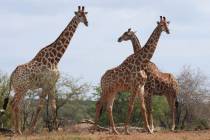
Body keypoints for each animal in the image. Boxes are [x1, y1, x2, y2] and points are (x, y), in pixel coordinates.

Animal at [0, 6, 88, 135]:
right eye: (79, 15)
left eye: (86, 15)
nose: (87, 23)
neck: (56, 58)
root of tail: (12, 75)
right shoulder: (46, 84)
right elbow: (40, 106)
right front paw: (31, 130)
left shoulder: (52, 84)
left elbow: (53, 105)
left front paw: (56, 129)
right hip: (21, 89)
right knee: (14, 104)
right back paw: (18, 131)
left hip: (22, 89)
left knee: (16, 105)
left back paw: (17, 130)